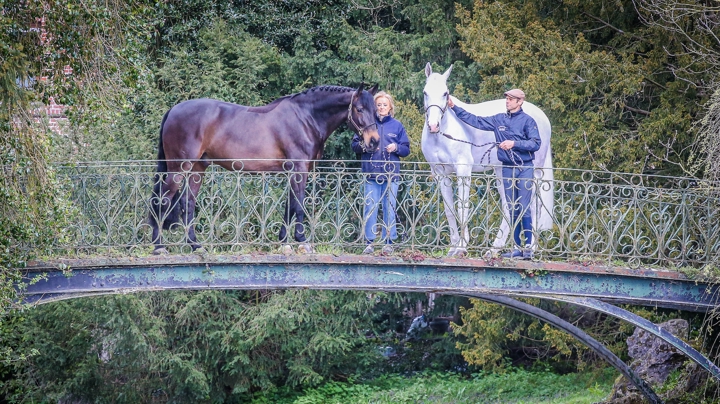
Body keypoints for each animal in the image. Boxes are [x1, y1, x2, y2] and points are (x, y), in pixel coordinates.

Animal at [149, 83, 380, 254]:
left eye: (376, 110)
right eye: (359, 109)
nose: (374, 141)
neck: (306, 117)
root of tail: (173, 110)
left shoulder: (292, 170)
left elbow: (290, 204)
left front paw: (284, 241)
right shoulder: (300, 168)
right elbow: (298, 205)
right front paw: (302, 240)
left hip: (197, 168)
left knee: (187, 202)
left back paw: (196, 246)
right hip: (179, 168)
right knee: (162, 200)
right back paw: (159, 246)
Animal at [420, 64, 556, 258]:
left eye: (445, 93)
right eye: (425, 92)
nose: (433, 126)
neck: (443, 134)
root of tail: (542, 117)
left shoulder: (463, 170)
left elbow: (462, 207)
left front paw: (462, 247)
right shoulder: (441, 174)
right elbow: (449, 210)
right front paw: (453, 247)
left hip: (533, 174)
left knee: (533, 205)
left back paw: (531, 249)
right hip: (502, 172)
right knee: (509, 206)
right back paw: (495, 249)